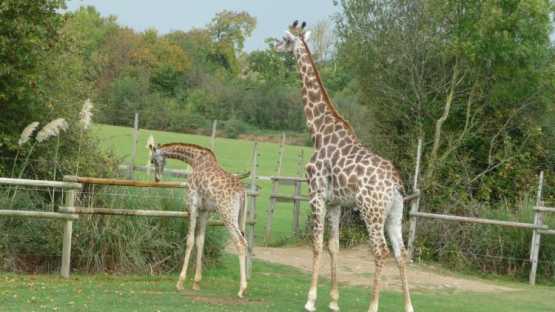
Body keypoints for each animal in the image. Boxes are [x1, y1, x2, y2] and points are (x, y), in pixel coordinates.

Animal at [148, 141, 248, 298]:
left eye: (152, 160)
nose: (157, 179)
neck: (194, 160)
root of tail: (242, 192)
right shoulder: (204, 210)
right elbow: (200, 241)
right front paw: (196, 282)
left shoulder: (192, 205)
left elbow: (190, 240)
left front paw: (180, 282)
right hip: (239, 216)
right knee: (245, 241)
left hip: (227, 214)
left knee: (240, 242)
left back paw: (242, 289)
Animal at [276, 22, 414, 312]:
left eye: (285, 38)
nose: (274, 46)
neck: (319, 131)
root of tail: (396, 183)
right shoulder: (336, 202)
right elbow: (334, 246)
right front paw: (334, 301)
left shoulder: (315, 194)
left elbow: (317, 244)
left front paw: (311, 299)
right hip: (394, 213)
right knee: (400, 252)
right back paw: (408, 306)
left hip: (371, 211)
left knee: (381, 251)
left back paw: (373, 306)